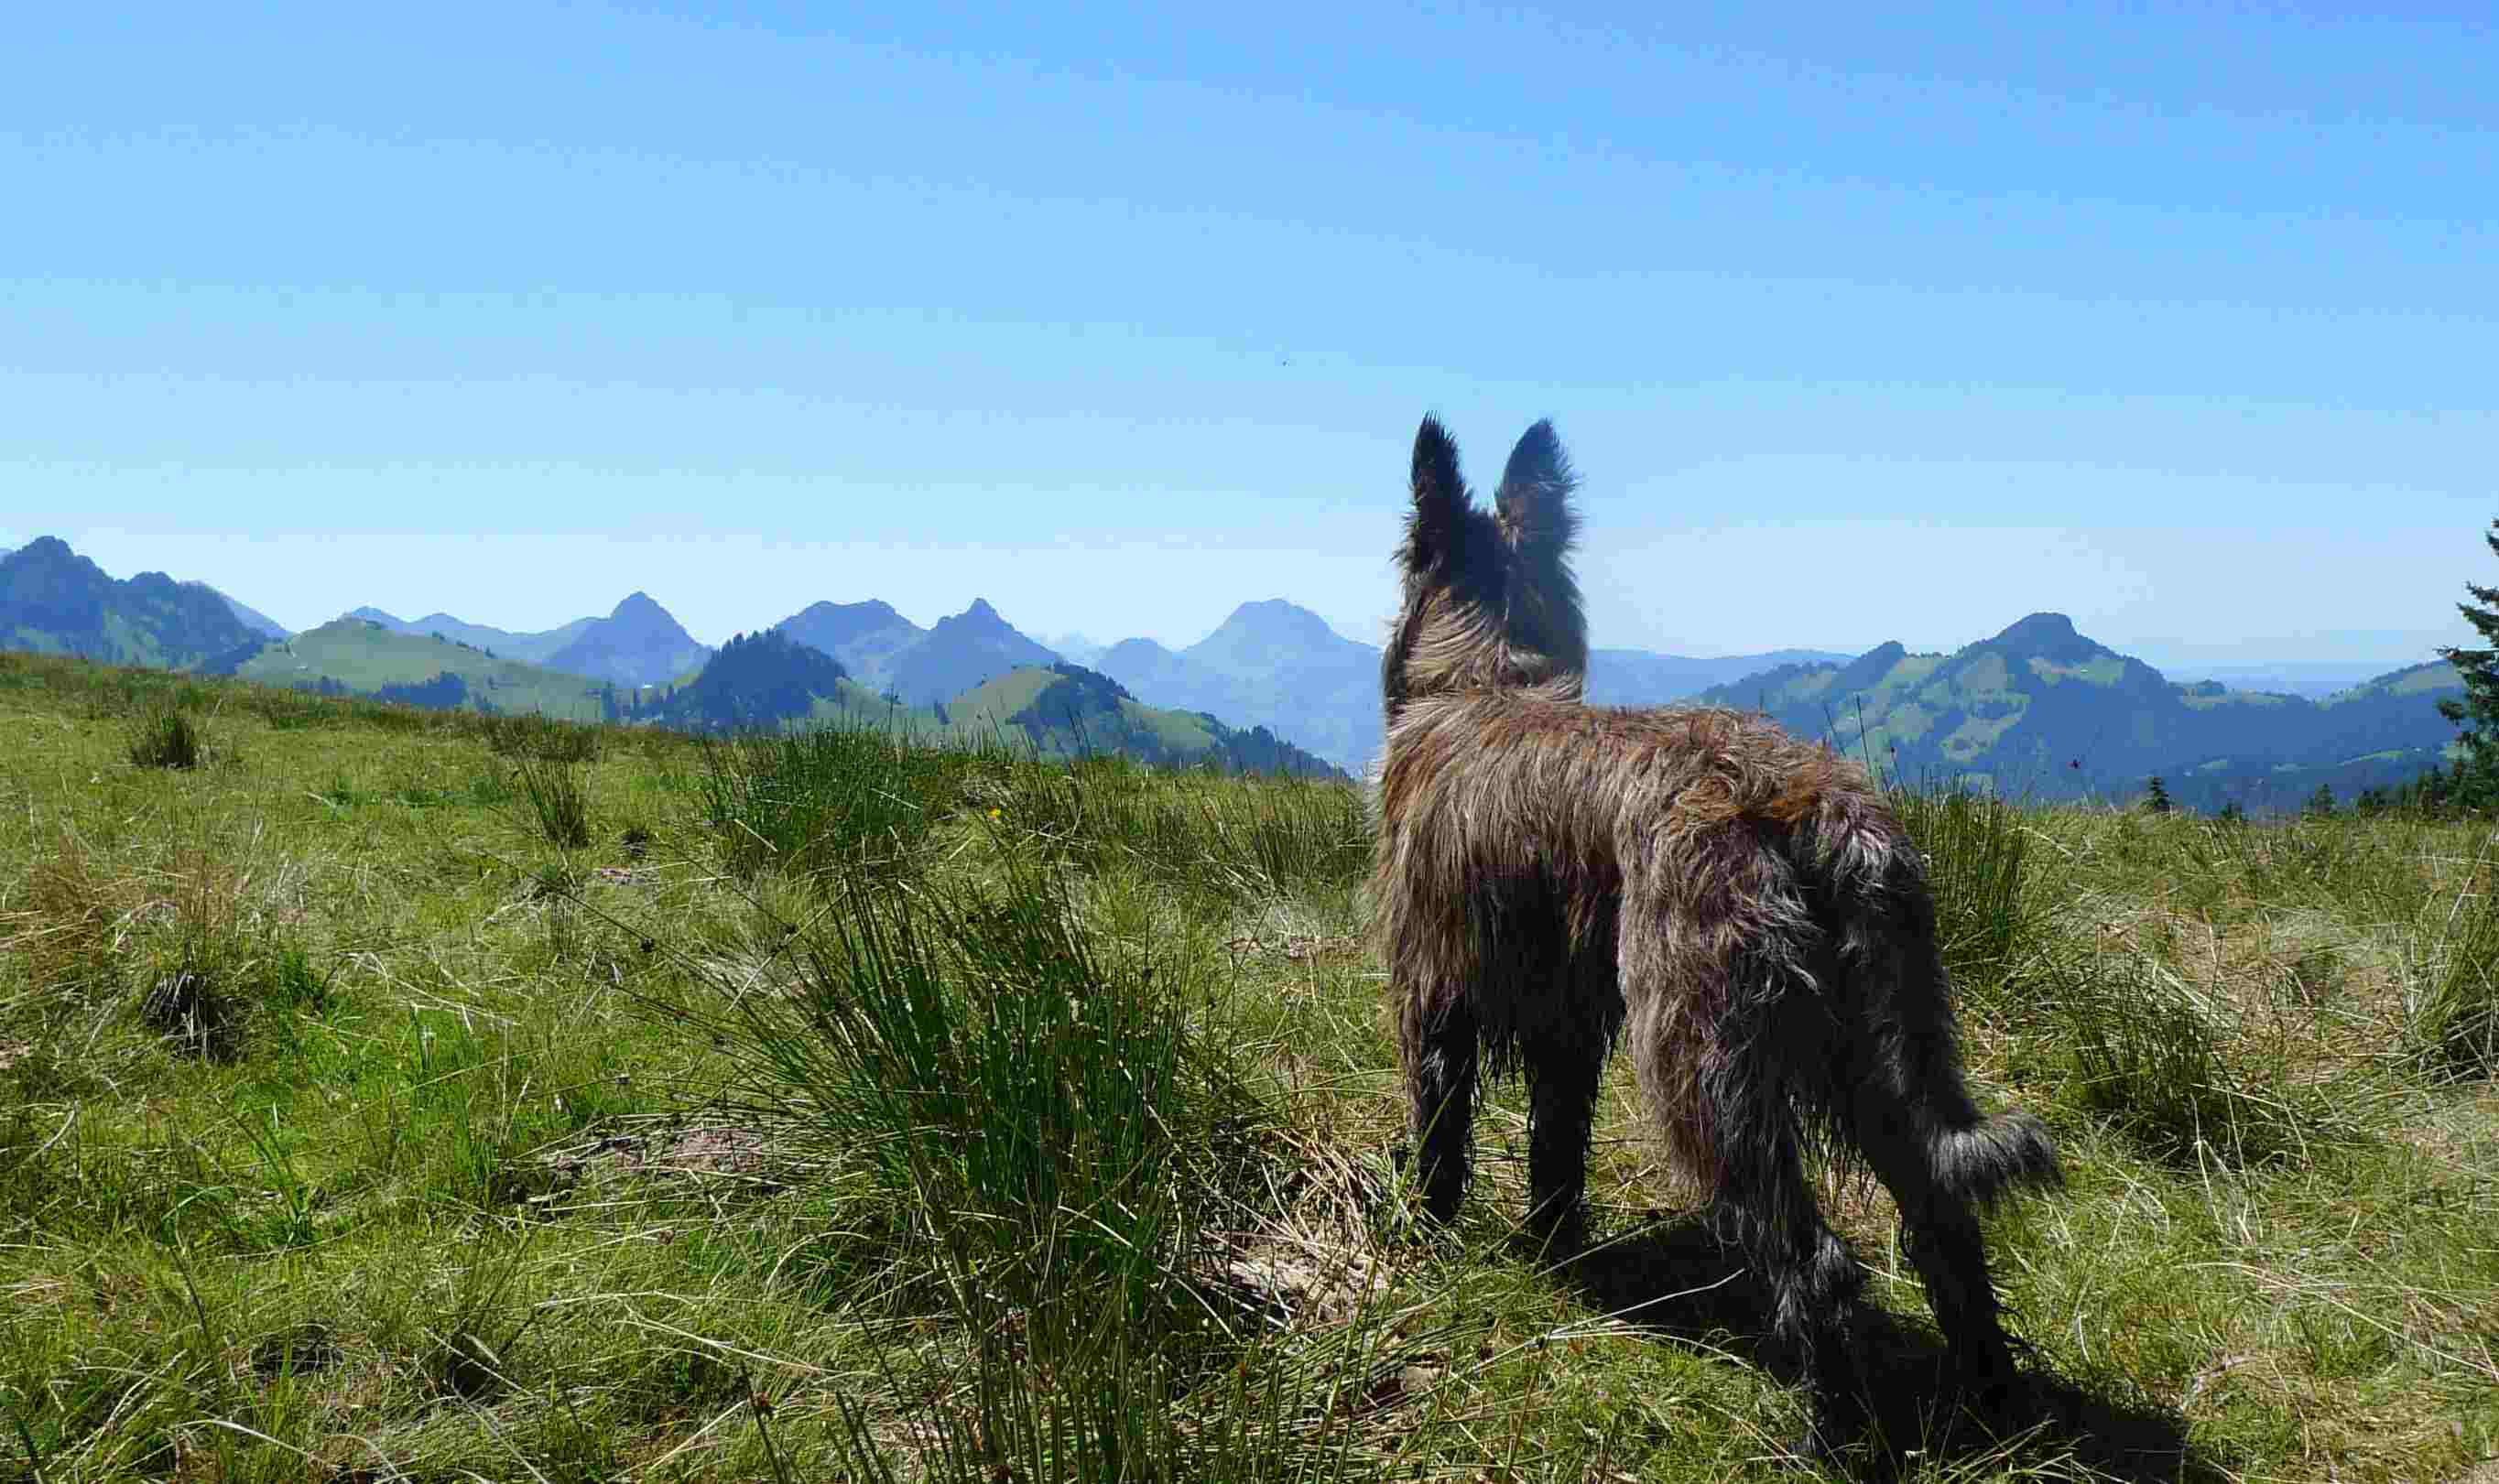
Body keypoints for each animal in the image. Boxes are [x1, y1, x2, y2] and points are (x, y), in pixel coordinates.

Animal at [1379, 412, 2059, 1448]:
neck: (1483, 682)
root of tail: (1808, 805)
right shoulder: (1564, 1028)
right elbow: (1555, 1147)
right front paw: (1550, 1247)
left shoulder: (1434, 995)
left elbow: (1439, 1131)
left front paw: (1429, 1233)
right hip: (1881, 1055)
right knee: (1942, 1214)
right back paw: (1993, 1393)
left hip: (1702, 1062)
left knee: (1814, 1260)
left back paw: (1824, 1431)